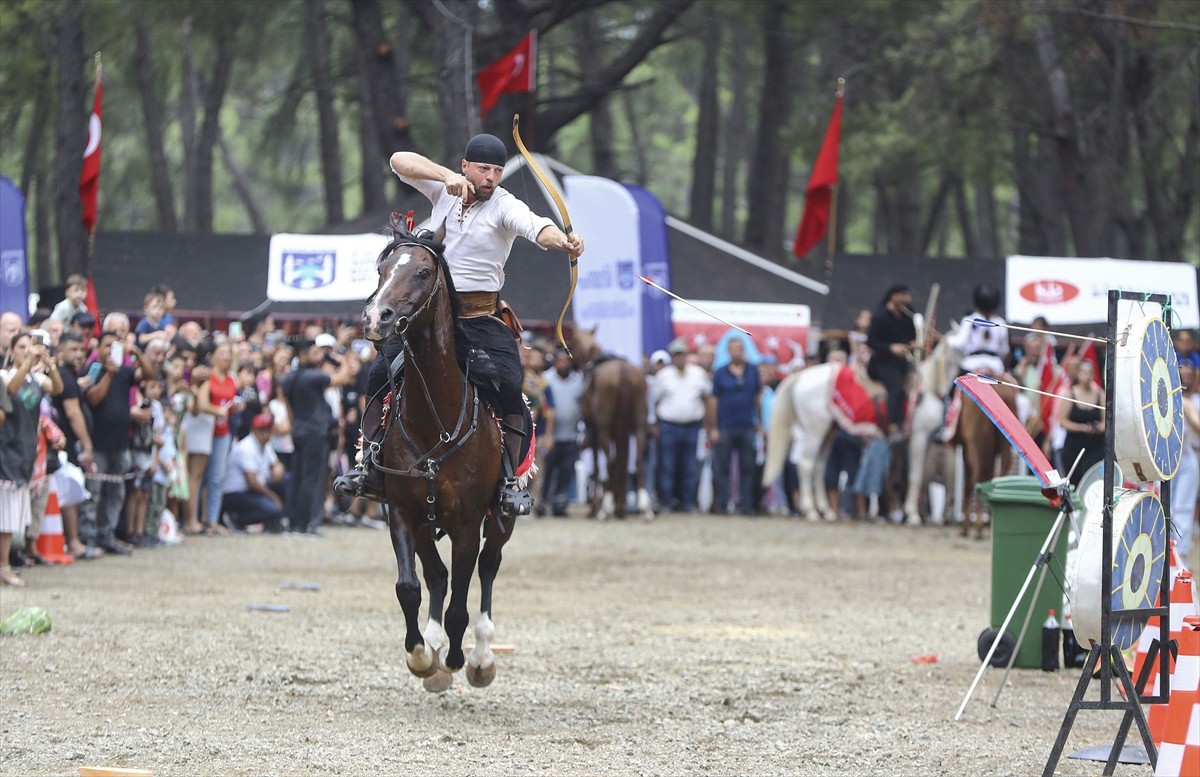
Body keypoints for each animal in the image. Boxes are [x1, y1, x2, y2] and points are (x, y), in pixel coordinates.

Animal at [355, 229, 506, 690]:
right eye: (382, 269)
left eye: (422, 272)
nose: (377, 318)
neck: (434, 421)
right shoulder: (403, 512)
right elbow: (409, 587)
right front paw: (421, 656)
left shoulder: (468, 523)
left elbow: (461, 601)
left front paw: (457, 659)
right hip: (425, 522)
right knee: (436, 575)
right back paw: (435, 648)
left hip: (500, 518)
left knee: (489, 566)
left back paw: (479, 657)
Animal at [568, 323, 652, 518]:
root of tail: (623, 371)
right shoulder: (621, 432)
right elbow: (621, 463)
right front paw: (619, 504)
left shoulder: (593, 430)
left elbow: (599, 467)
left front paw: (595, 506)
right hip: (638, 425)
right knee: (636, 460)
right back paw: (643, 507)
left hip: (604, 428)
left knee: (608, 461)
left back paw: (604, 508)